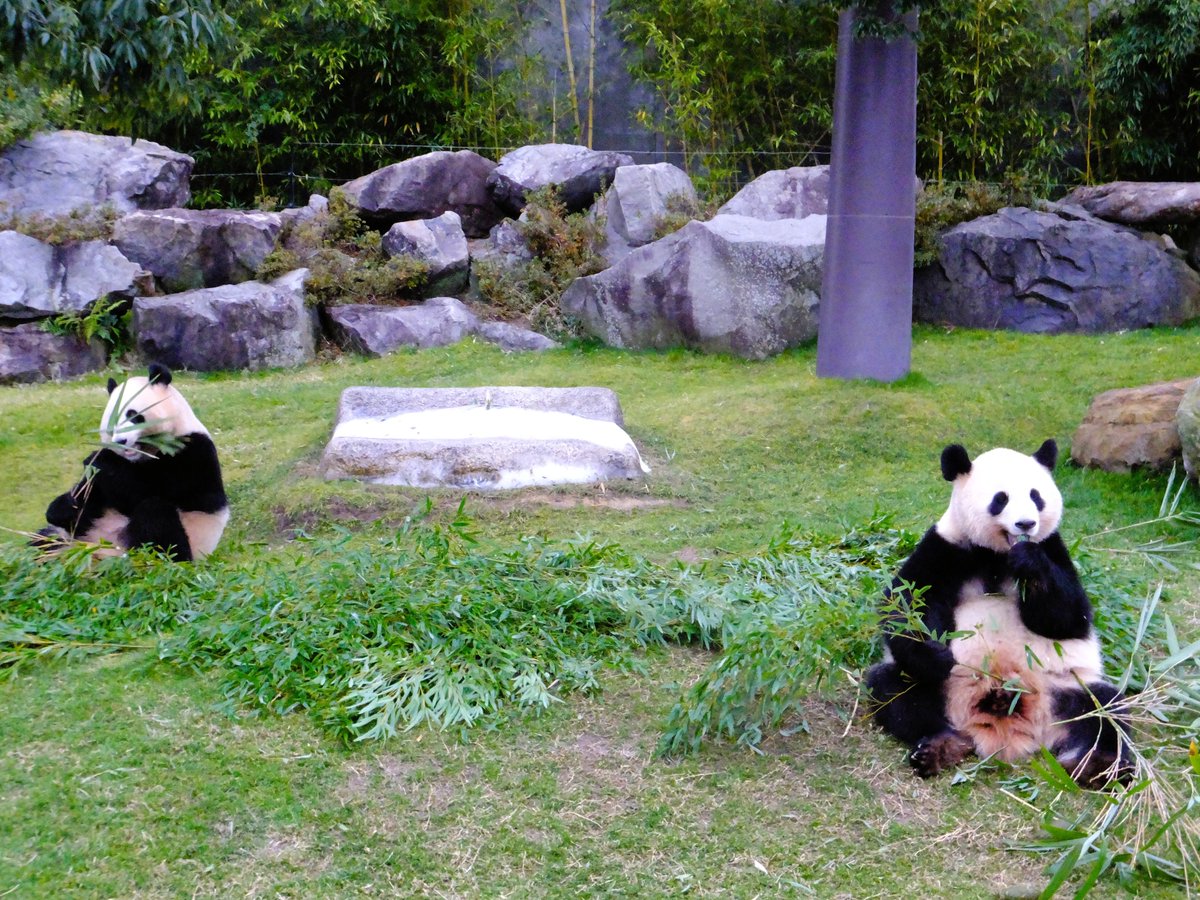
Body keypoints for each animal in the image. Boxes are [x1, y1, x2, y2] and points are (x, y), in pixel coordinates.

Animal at [38, 363, 229, 562]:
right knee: (47, 540)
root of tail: (104, 555)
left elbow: (146, 491)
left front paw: (100, 458)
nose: (120, 441)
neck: (143, 455)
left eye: (133, 415)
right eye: (112, 421)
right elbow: (90, 499)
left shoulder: (192, 451)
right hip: (79, 537)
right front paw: (64, 506)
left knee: (156, 515)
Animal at [865, 439, 1131, 787]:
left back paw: (1099, 766)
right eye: (1000, 499)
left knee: (1105, 709)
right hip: (946, 688)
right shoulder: (946, 547)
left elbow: (1070, 617)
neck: (997, 554)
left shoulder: (1053, 548)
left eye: (1035, 496)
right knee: (896, 690)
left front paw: (1029, 562)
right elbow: (906, 604)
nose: (1026, 524)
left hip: (1063, 687)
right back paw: (940, 747)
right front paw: (936, 653)